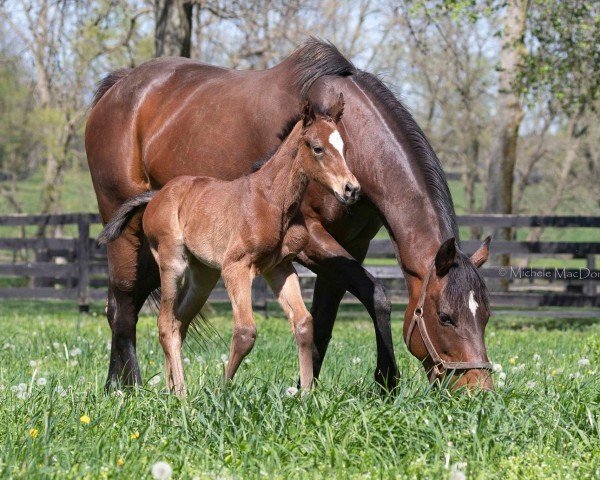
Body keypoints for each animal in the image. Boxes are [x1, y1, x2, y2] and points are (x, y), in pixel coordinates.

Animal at [100, 94, 358, 394]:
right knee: (165, 323)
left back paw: (171, 388)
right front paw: (222, 391)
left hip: (204, 276)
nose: (352, 189)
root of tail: (156, 196)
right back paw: (183, 393)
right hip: (172, 263)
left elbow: (304, 323)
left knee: (179, 322)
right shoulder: (236, 266)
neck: (274, 202)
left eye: (344, 147)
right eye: (317, 148)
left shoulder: (279, 267)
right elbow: (245, 331)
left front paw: (305, 395)